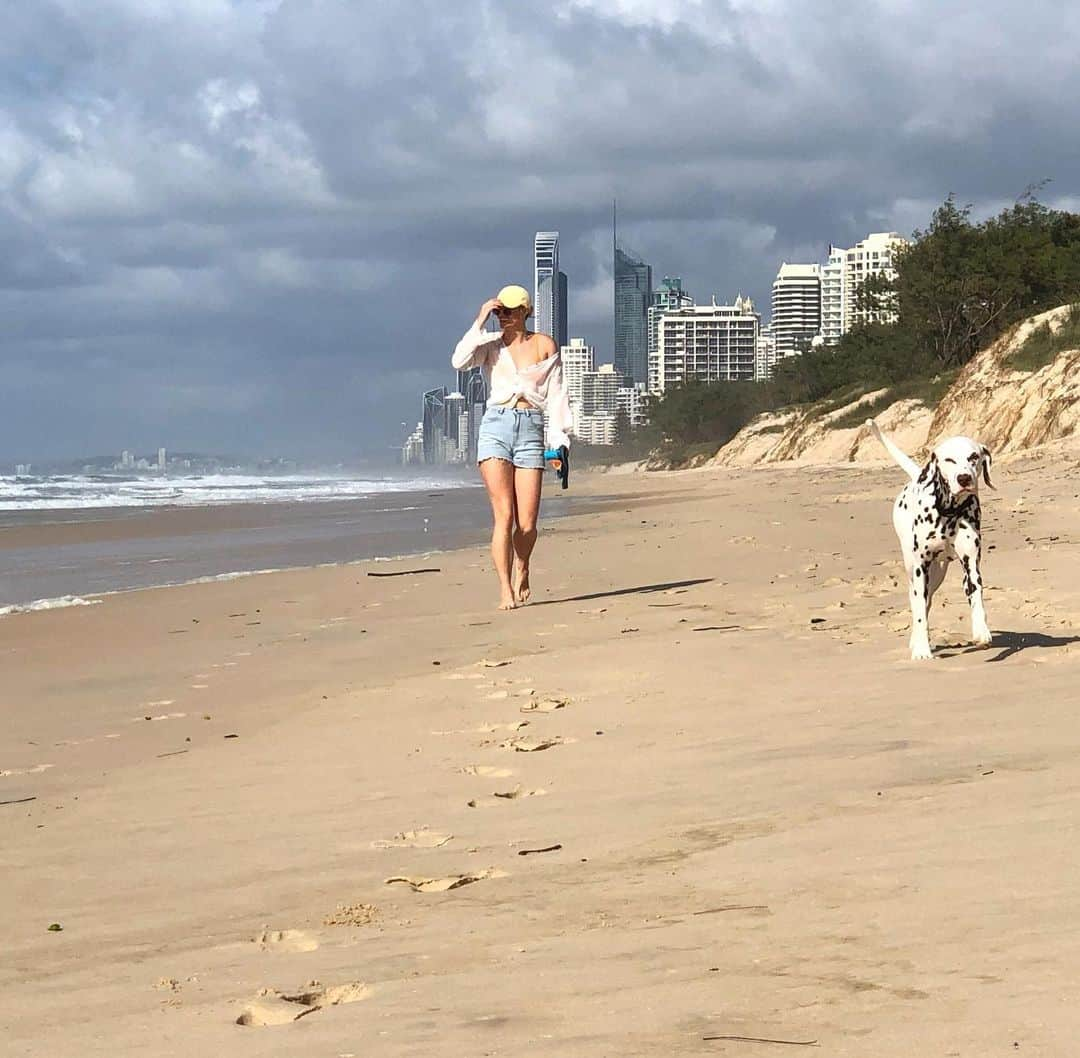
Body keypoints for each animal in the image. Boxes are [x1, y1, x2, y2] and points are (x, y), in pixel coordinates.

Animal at [868, 418, 993, 660]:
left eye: (974, 457)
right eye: (949, 460)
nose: (964, 478)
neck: (949, 512)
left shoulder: (971, 564)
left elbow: (976, 597)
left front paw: (981, 631)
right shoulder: (920, 568)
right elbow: (919, 612)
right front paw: (922, 650)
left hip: (938, 573)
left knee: (928, 601)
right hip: (914, 567)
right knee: (918, 602)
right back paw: (918, 640)